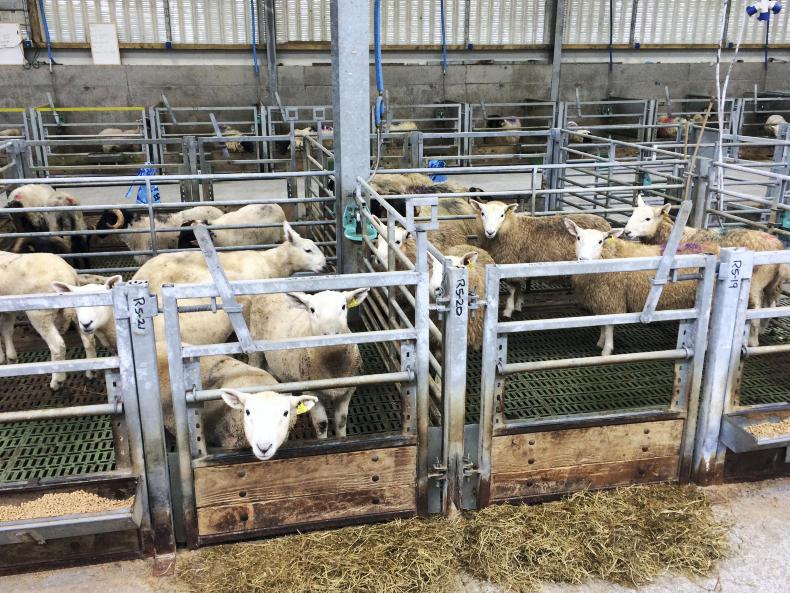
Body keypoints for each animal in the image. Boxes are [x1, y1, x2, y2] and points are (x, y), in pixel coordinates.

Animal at [249, 288, 369, 440]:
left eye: (343, 306)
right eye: (312, 309)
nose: (331, 334)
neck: (333, 367)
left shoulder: (347, 391)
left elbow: (341, 421)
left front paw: (342, 439)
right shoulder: (311, 391)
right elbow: (321, 423)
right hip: (255, 347)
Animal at [470, 199, 611, 317]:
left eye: (502, 215)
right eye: (482, 213)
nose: (490, 232)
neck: (512, 229)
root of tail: (606, 225)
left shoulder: (510, 261)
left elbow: (511, 290)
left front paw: (508, 310)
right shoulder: (518, 264)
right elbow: (518, 288)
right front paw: (518, 305)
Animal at [564, 221, 717, 355]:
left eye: (600, 241)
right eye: (578, 237)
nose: (584, 259)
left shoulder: (612, 298)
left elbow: (609, 325)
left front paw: (606, 349)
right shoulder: (601, 297)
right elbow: (602, 321)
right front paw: (601, 342)